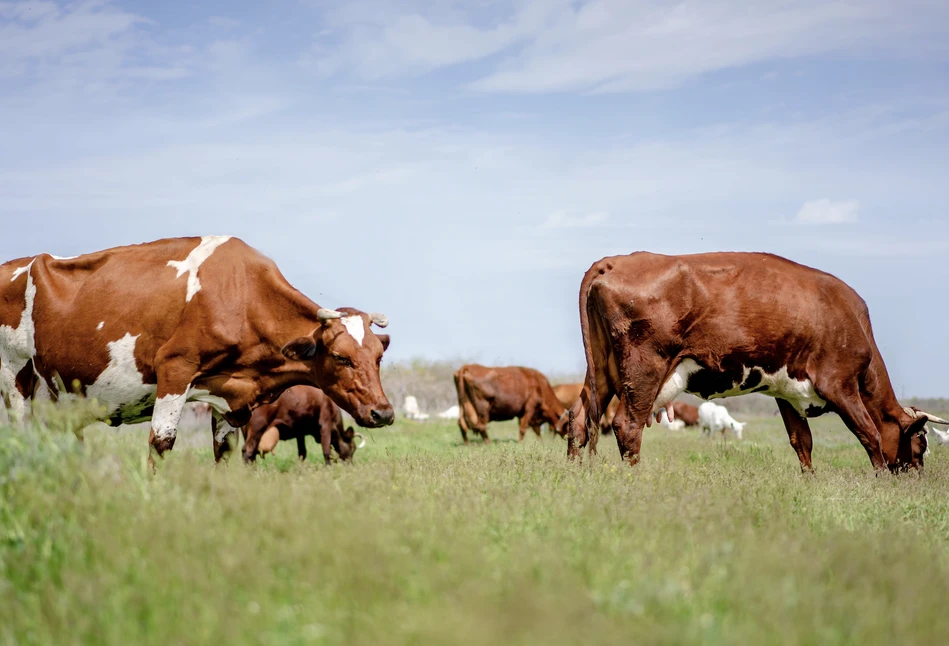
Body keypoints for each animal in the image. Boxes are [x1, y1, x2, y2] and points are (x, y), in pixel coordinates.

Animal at [0, 238, 392, 466]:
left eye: (378, 357)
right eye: (341, 357)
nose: (383, 413)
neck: (242, 294)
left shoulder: (229, 395)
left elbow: (225, 452)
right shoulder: (175, 369)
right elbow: (160, 445)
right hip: (16, 378)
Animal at [564, 251, 948, 474]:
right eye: (921, 442)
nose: (917, 477)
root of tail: (617, 259)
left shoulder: (788, 393)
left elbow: (802, 442)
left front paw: (809, 483)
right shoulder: (840, 385)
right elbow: (869, 433)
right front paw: (881, 481)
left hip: (603, 369)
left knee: (581, 418)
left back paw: (573, 473)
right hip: (644, 369)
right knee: (626, 425)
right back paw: (634, 479)